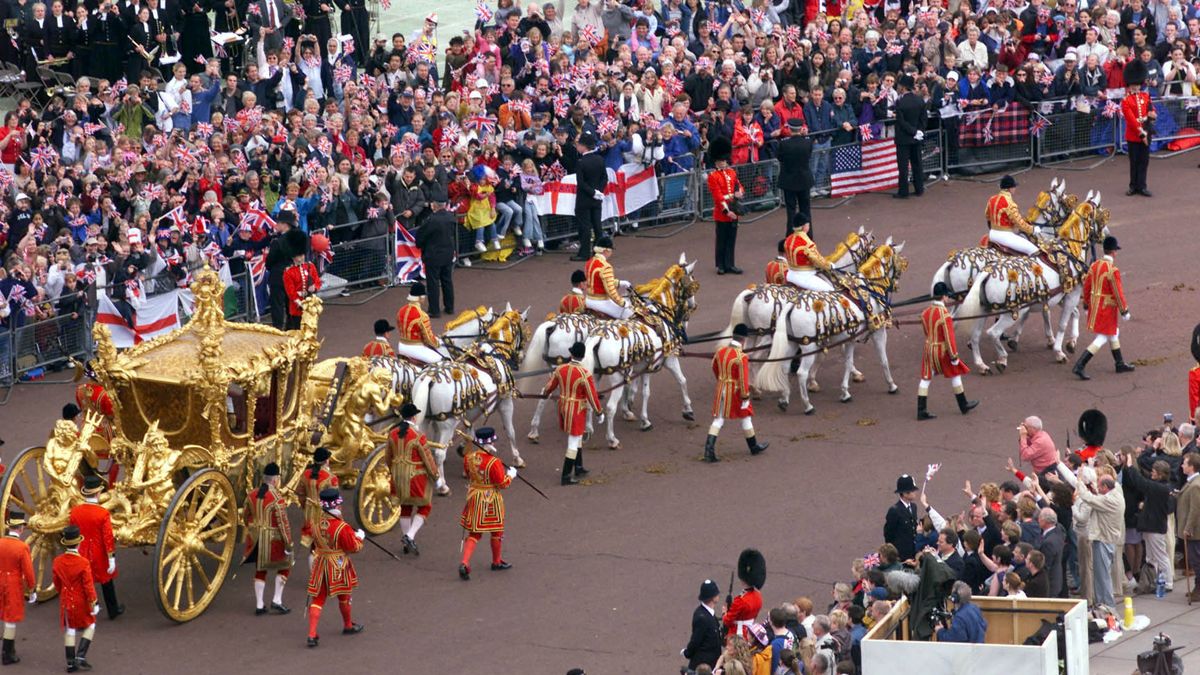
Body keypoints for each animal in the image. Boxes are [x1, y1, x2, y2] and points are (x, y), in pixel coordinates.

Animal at [410, 302, 528, 492]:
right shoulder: (505, 402)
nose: (521, 357)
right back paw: (442, 485)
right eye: (521, 330)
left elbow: (470, 433)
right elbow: (510, 431)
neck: (493, 352)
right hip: (447, 425)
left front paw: (467, 457)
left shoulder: (471, 410)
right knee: (440, 452)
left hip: (426, 421)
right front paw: (517, 459)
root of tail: (430, 376)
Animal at [520, 252, 700, 446]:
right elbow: (681, 380)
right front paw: (687, 410)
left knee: (547, 393)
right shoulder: (668, 359)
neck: (655, 313)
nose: (692, 307)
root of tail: (552, 324)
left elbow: (640, 390)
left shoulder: (642, 366)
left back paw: (539, 430)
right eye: (692, 283)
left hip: (559, 369)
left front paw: (632, 411)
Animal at [753, 239, 902, 413]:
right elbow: (883, 359)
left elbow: (847, 361)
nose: (896, 285)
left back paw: (781, 398)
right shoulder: (878, 330)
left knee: (780, 364)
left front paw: (844, 391)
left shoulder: (849, 337)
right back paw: (806, 405)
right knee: (798, 372)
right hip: (803, 345)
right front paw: (891, 385)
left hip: (788, 342)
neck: (868, 287)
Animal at [955, 194, 1113, 372]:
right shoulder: (1071, 296)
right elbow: (1062, 323)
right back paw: (1001, 359)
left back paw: (981, 364)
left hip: (983, 310)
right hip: (1011, 313)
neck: (1069, 250)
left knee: (975, 335)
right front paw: (1059, 351)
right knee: (992, 333)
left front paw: (1068, 342)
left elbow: (1067, 314)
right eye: (1101, 214)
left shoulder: (1056, 297)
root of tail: (987, 272)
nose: (1107, 236)